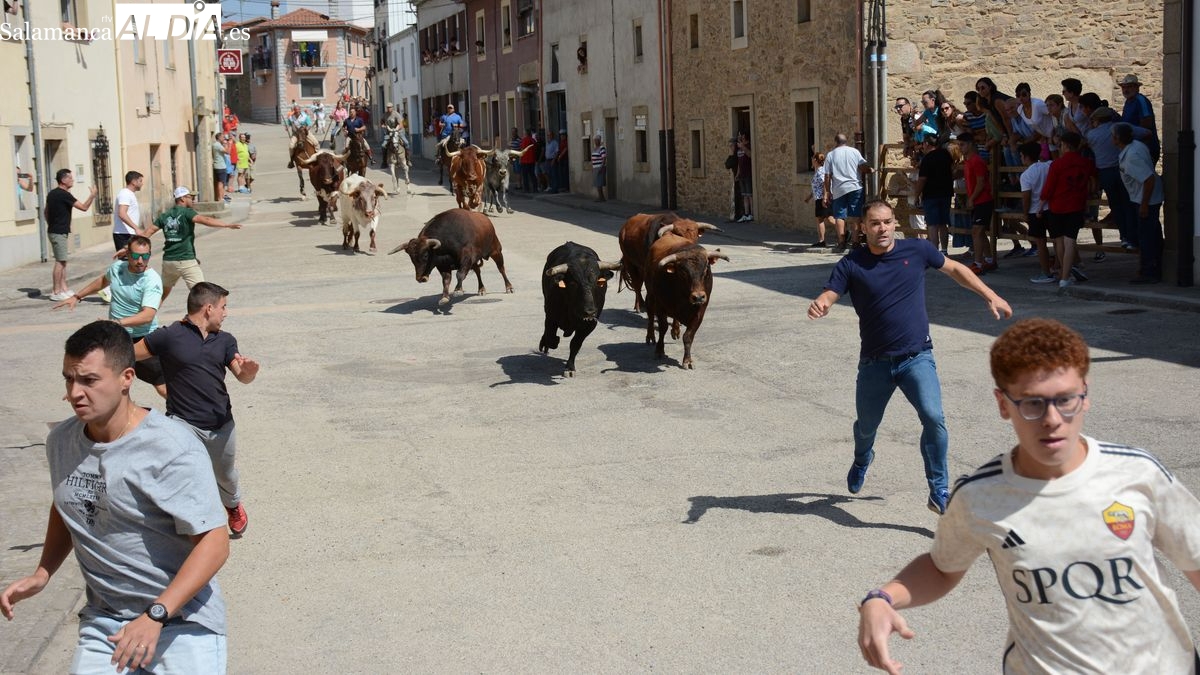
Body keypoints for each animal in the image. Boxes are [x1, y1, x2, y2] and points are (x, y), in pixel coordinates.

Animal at [540, 242, 622, 376]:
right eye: (573, 283)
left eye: (596, 282)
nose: (590, 311)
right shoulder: (551, 317)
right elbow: (551, 338)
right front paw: (550, 342)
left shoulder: (590, 324)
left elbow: (575, 344)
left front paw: (570, 368)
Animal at [644, 233, 729, 369]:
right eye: (683, 272)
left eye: (706, 269)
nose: (698, 297)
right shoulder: (661, 306)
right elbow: (662, 328)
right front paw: (659, 351)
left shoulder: (699, 312)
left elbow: (688, 336)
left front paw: (688, 360)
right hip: (651, 295)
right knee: (651, 315)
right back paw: (650, 336)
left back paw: (675, 330)